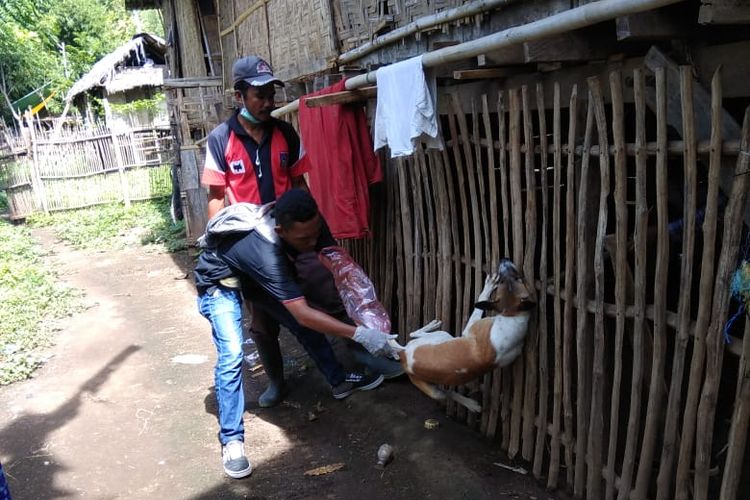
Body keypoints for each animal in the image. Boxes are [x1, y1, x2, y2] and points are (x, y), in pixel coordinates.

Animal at [390, 260, 536, 412]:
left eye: (517, 279)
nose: (504, 260)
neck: (512, 315)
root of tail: (404, 355)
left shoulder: (470, 329)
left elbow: (479, 304)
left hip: (441, 340)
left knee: (445, 390)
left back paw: (471, 404)